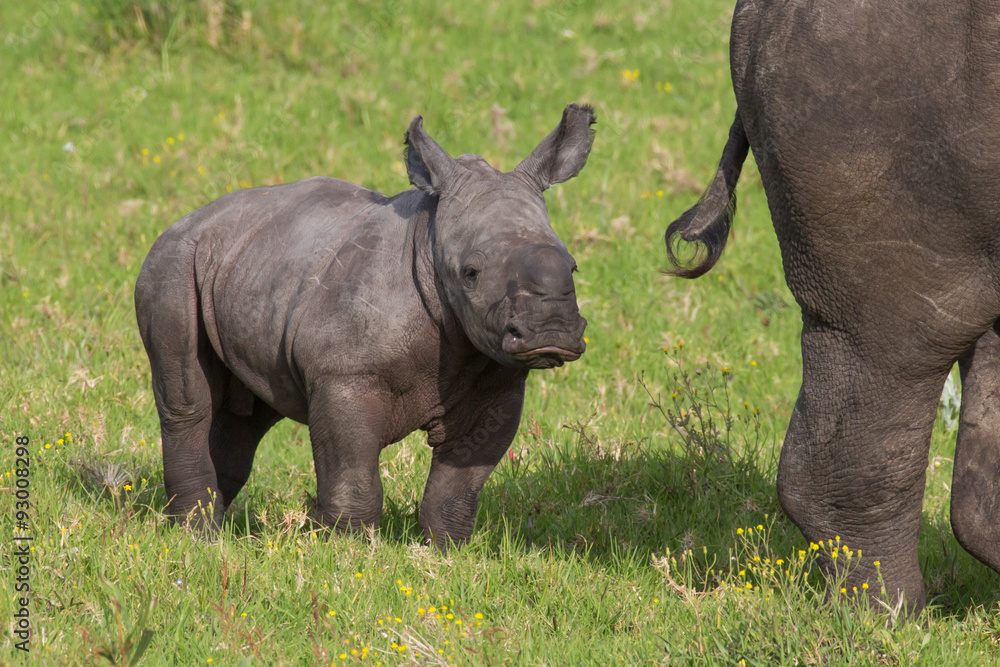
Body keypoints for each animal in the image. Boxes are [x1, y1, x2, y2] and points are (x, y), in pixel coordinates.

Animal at [135, 104, 593, 547]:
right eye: (471, 274)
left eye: (573, 266)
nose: (551, 332)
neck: (429, 242)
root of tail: (187, 219)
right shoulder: (346, 376)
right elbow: (353, 474)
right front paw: (347, 550)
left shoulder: (498, 382)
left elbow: (459, 485)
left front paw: (447, 552)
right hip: (172, 263)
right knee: (188, 400)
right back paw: (197, 539)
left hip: (253, 267)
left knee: (246, 416)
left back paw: (212, 528)